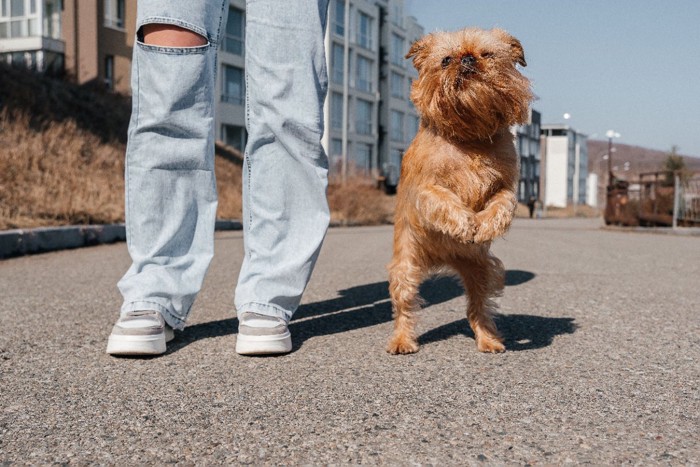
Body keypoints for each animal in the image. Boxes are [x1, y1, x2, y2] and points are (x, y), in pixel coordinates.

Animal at [388, 27, 532, 354]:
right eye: (445, 60)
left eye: (487, 54)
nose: (466, 59)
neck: (469, 138)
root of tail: (440, 260)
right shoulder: (425, 190)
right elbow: (445, 200)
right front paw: (465, 224)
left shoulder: (506, 186)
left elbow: (503, 204)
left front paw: (486, 225)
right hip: (406, 267)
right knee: (405, 307)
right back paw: (402, 341)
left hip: (483, 271)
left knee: (478, 308)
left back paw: (488, 339)